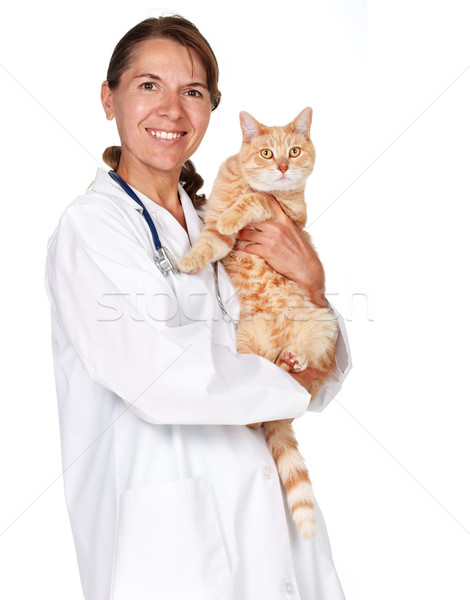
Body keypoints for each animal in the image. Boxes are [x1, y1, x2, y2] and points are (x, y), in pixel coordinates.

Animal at [177, 108, 338, 540]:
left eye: (293, 151)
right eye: (267, 153)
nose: (282, 167)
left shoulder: (291, 215)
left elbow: (259, 199)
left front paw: (244, 206)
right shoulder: (216, 233)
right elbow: (210, 241)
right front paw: (187, 261)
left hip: (325, 326)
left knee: (315, 365)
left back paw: (295, 360)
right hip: (247, 345)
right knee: (256, 410)